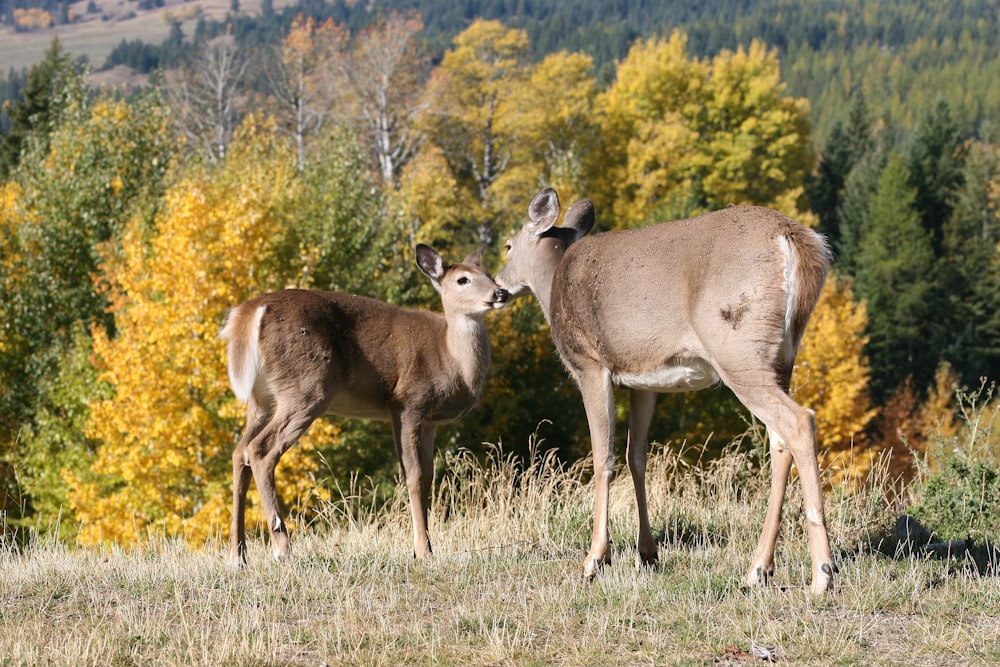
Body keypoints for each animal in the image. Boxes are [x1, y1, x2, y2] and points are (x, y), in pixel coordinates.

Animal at [224, 243, 512, 568]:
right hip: (307, 387)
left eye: (489, 274)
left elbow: (428, 476)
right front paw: (423, 551)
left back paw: (238, 556)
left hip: (262, 398)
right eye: (463, 279)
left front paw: (422, 547)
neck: (451, 356)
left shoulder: (430, 421)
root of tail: (250, 313)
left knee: (239, 453)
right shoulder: (408, 403)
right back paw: (282, 548)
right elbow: (414, 476)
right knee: (260, 450)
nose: (501, 293)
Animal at [498, 187, 836, 596]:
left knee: (800, 421)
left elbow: (603, 457)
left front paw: (595, 559)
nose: (498, 288)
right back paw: (758, 569)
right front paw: (647, 554)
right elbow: (636, 456)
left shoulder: (590, 365)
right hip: (781, 354)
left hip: (736, 346)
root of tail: (795, 240)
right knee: (780, 440)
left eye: (508, 245)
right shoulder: (643, 380)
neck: (553, 287)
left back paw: (822, 572)